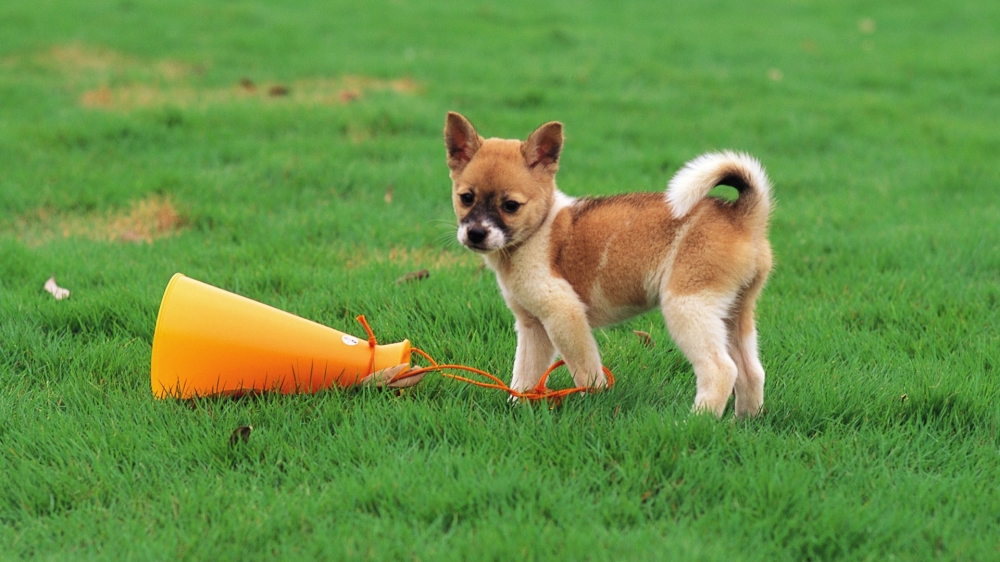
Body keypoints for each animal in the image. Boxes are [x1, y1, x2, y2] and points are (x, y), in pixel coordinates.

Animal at [444, 111, 772, 416]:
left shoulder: (564, 315)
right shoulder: (532, 327)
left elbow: (585, 371)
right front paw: (518, 408)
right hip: (735, 314)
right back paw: (743, 423)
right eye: (466, 198)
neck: (536, 231)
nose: (475, 233)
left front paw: (593, 402)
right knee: (751, 372)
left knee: (721, 370)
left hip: (688, 307)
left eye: (511, 205)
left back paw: (696, 422)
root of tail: (743, 216)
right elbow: (524, 375)